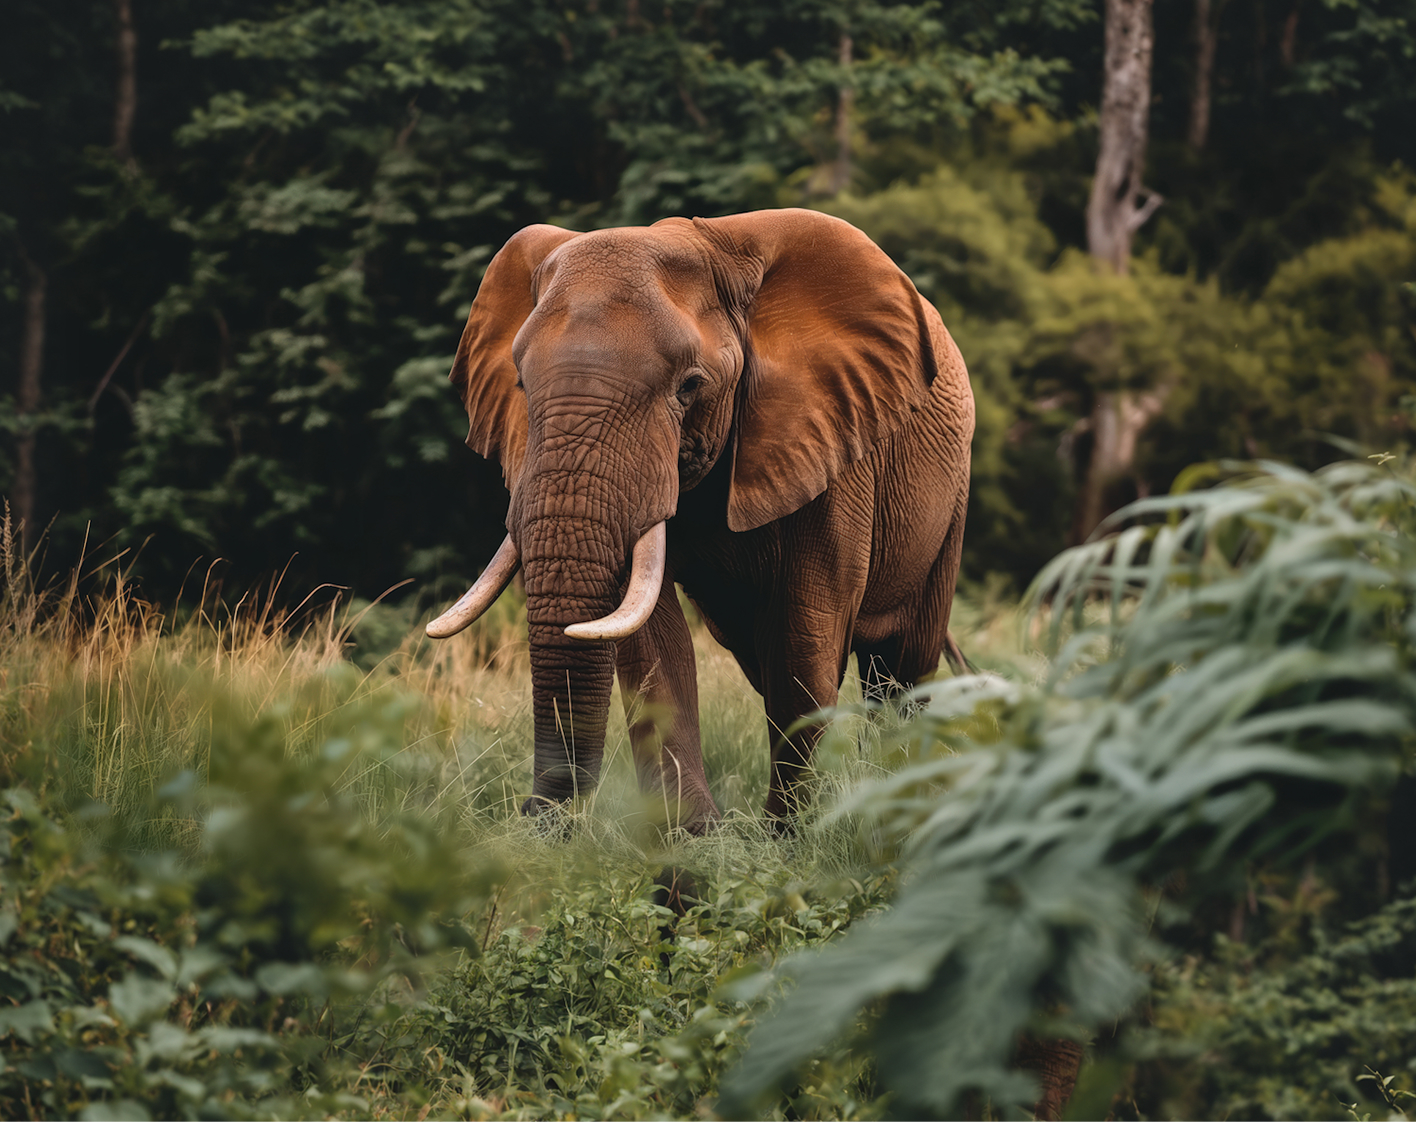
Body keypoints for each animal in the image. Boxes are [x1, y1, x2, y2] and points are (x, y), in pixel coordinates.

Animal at [425, 207, 974, 832]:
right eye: (520, 382)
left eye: (689, 387)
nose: (537, 818)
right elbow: (651, 641)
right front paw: (694, 841)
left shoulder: (834, 437)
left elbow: (803, 629)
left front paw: (790, 835)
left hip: (951, 496)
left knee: (903, 665)